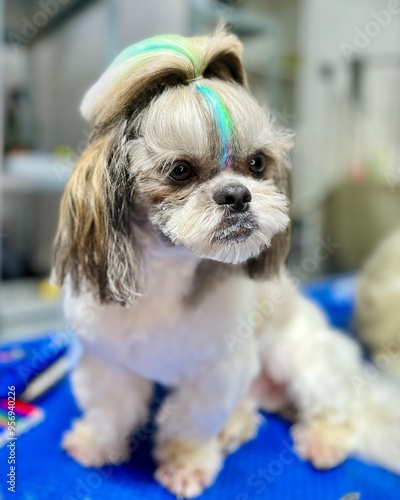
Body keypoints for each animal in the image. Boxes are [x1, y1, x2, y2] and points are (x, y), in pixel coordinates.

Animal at [52, 29, 400, 498]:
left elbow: (189, 423)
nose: (237, 194)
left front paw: (186, 463)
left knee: (334, 408)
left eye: (257, 163)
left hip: (306, 360)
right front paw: (97, 443)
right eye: (180, 170)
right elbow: (112, 407)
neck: (164, 279)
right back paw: (238, 423)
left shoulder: (216, 373)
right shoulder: (107, 360)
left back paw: (323, 439)